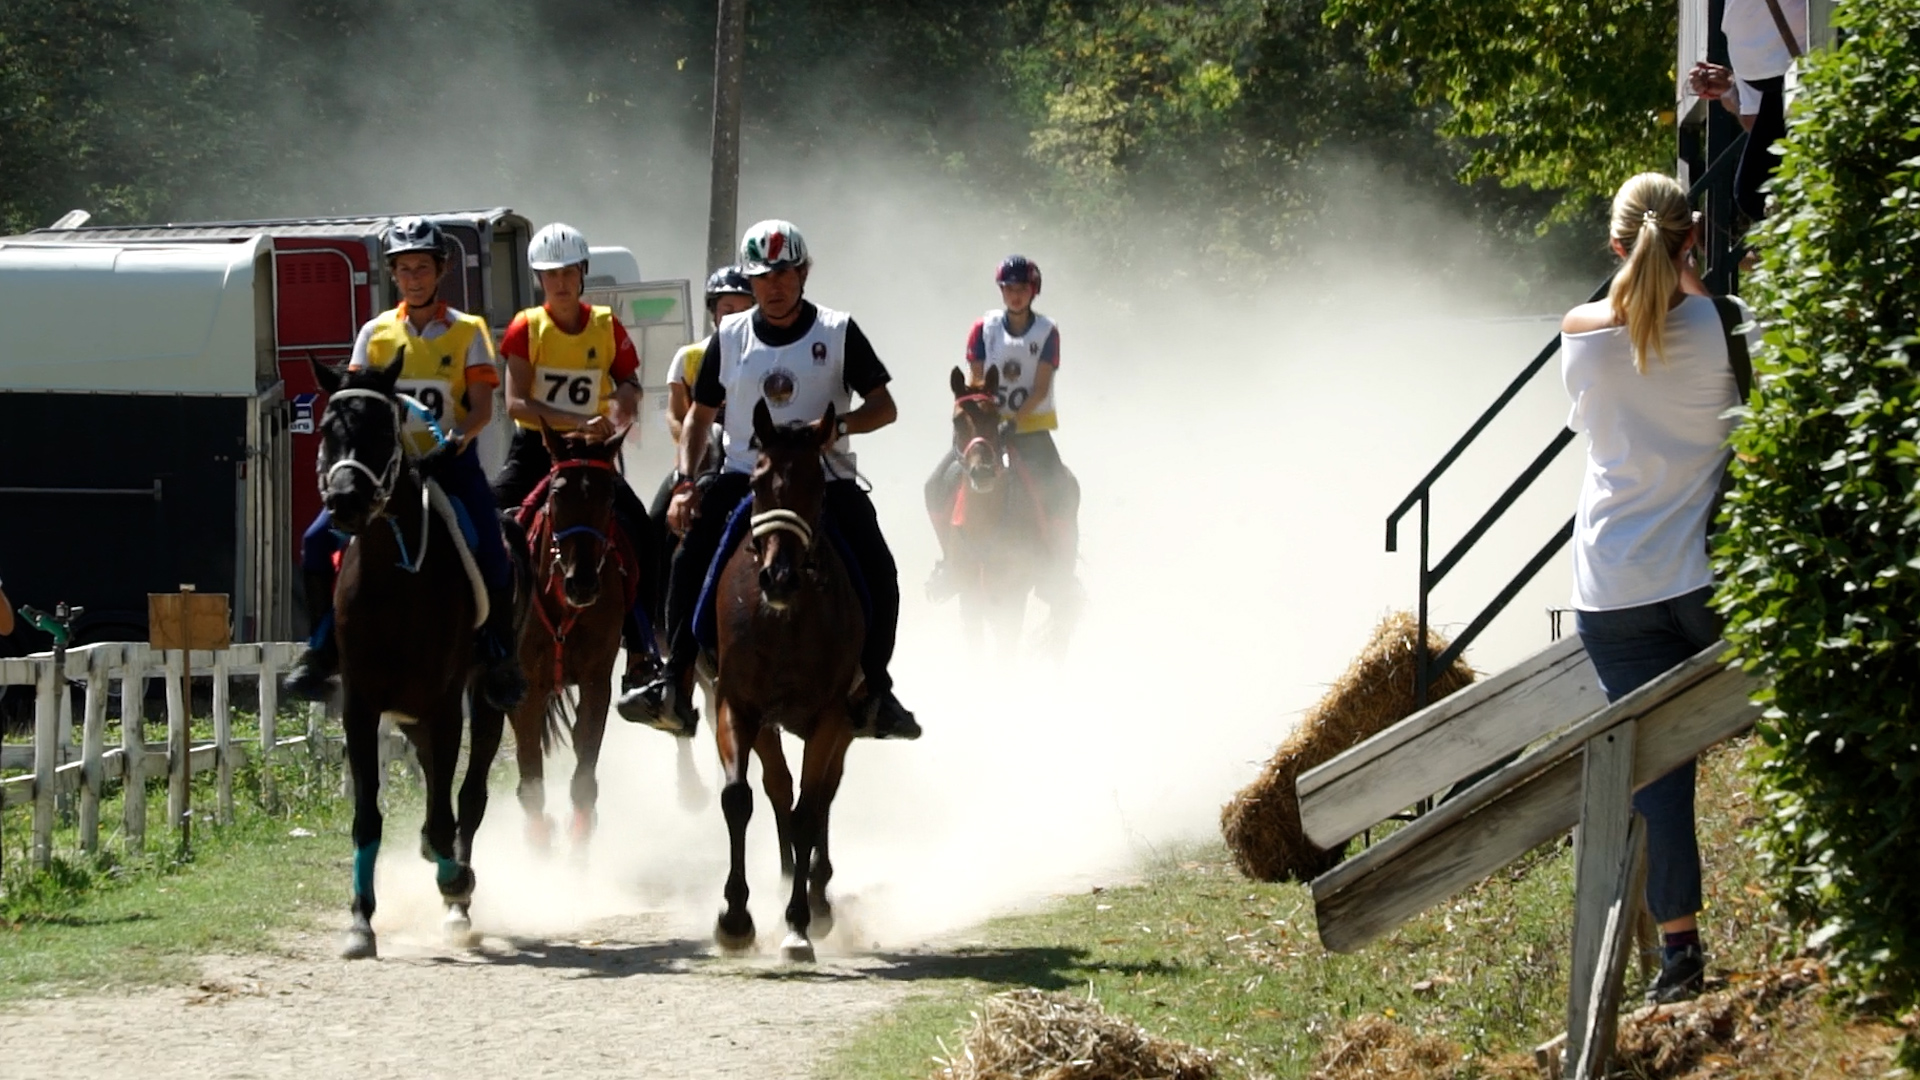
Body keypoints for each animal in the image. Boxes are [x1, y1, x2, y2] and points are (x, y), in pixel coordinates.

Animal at [311, 357, 518, 953]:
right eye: (327, 430)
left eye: (383, 431)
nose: (345, 501)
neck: (394, 579)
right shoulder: (361, 707)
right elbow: (367, 816)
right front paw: (360, 921)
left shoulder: (446, 704)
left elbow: (451, 811)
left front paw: (454, 883)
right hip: (408, 714)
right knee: (434, 785)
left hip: (485, 699)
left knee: (468, 798)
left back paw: (458, 898)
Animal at [714, 397, 864, 957]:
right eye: (758, 482)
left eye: (817, 486)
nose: (778, 578)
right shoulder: (738, 705)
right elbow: (740, 799)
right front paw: (735, 918)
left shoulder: (830, 715)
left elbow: (807, 812)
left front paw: (798, 923)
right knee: (780, 788)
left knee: (820, 797)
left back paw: (817, 899)